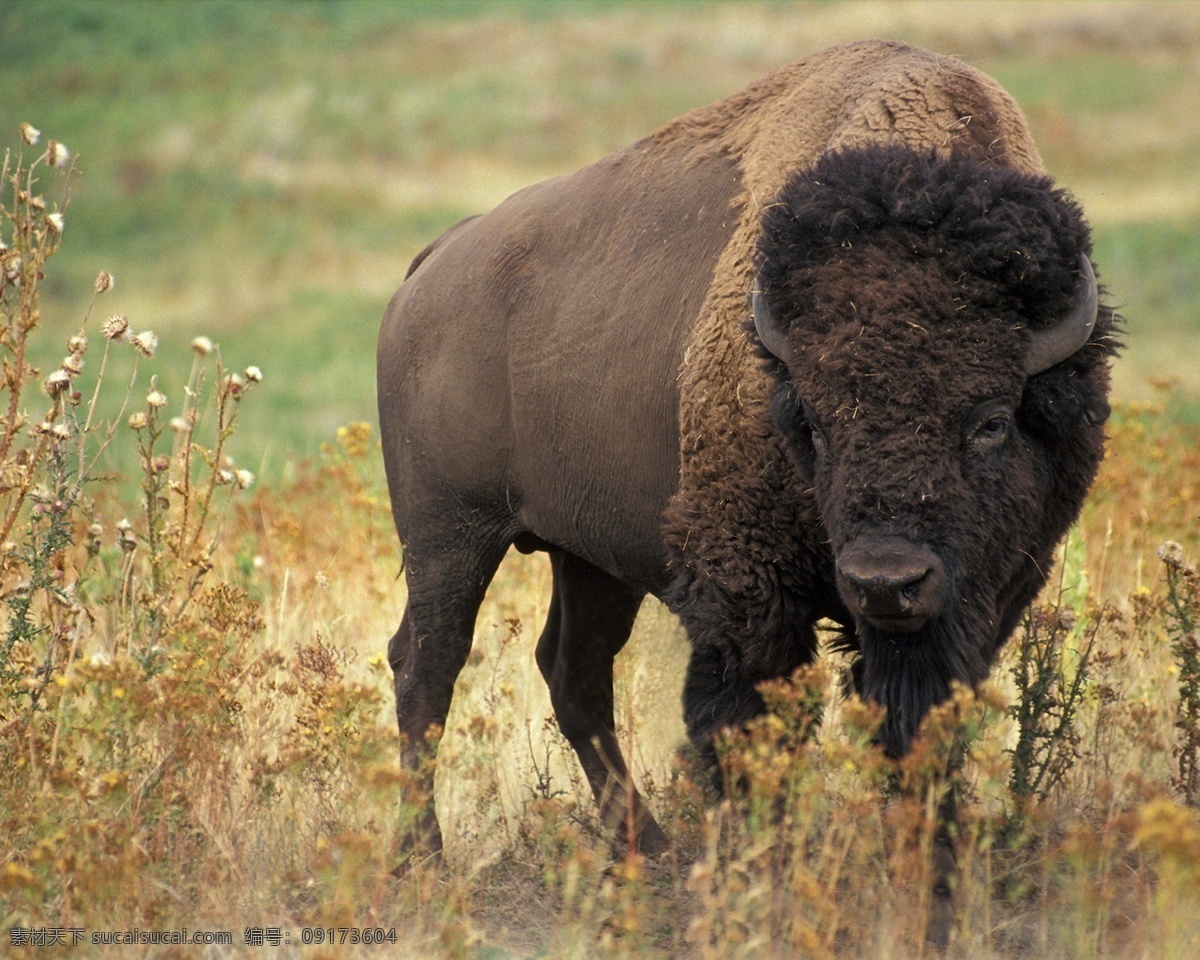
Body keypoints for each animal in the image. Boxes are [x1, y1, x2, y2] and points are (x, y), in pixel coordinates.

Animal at [374, 39, 1113, 945]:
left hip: (590, 559)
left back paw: (646, 853)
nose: (885, 580)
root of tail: (431, 268)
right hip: (449, 536)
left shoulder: (979, 602)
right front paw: (761, 885)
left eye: (991, 422)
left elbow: (921, 735)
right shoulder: (747, 591)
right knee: (427, 668)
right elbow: (747, 732)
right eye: (815, 422)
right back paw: (424, 867)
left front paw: (927, 895)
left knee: (572, 671)